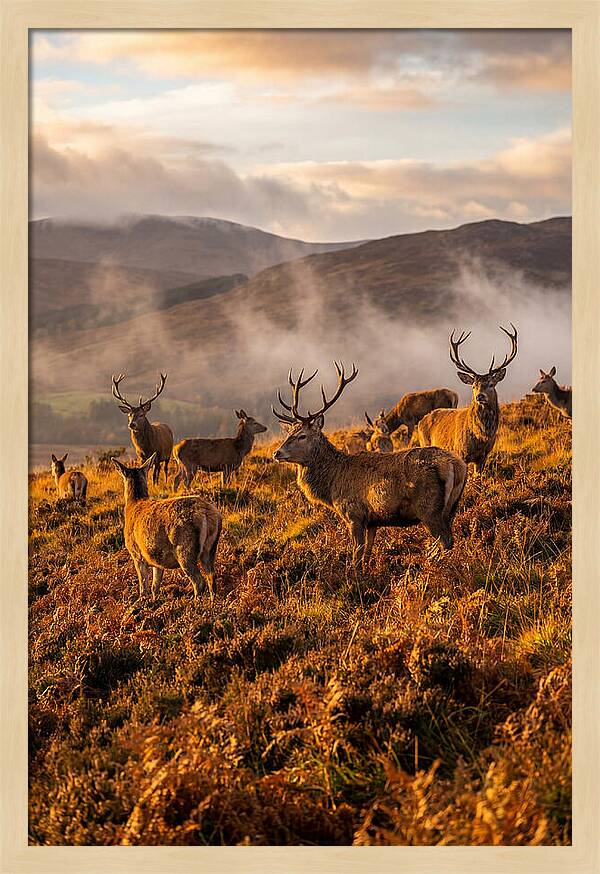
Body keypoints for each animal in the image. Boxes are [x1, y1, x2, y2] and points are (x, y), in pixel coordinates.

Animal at [112, 453, 222, 603]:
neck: (133, 504)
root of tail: (207, 514)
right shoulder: (156, 559)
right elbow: (155, 586)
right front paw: (154, 601)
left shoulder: (136, 554)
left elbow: (143, 586)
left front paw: (142, 601)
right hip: (210, 549)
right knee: (212, 577)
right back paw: (212, 602)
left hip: (185, 548)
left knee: (199, 581)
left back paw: (195, 603)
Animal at [272, 362, 467, 573]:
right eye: (289, 433)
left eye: (302, 435)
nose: (277, 453)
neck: (332, 485)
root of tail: (456, 465)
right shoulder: (373, 520)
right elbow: (367, 552)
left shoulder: (354, 514)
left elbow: (356, 555)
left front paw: (355, 577)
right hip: (452, 506)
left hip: (429, 508)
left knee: (446, 540)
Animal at [416, 324, 518, 475]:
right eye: (473, 386)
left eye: (491, 384)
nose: (480, 396)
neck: (481, 437)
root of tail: (421, 421)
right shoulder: (460, 452)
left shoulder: (483, 456)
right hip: (425, 443)